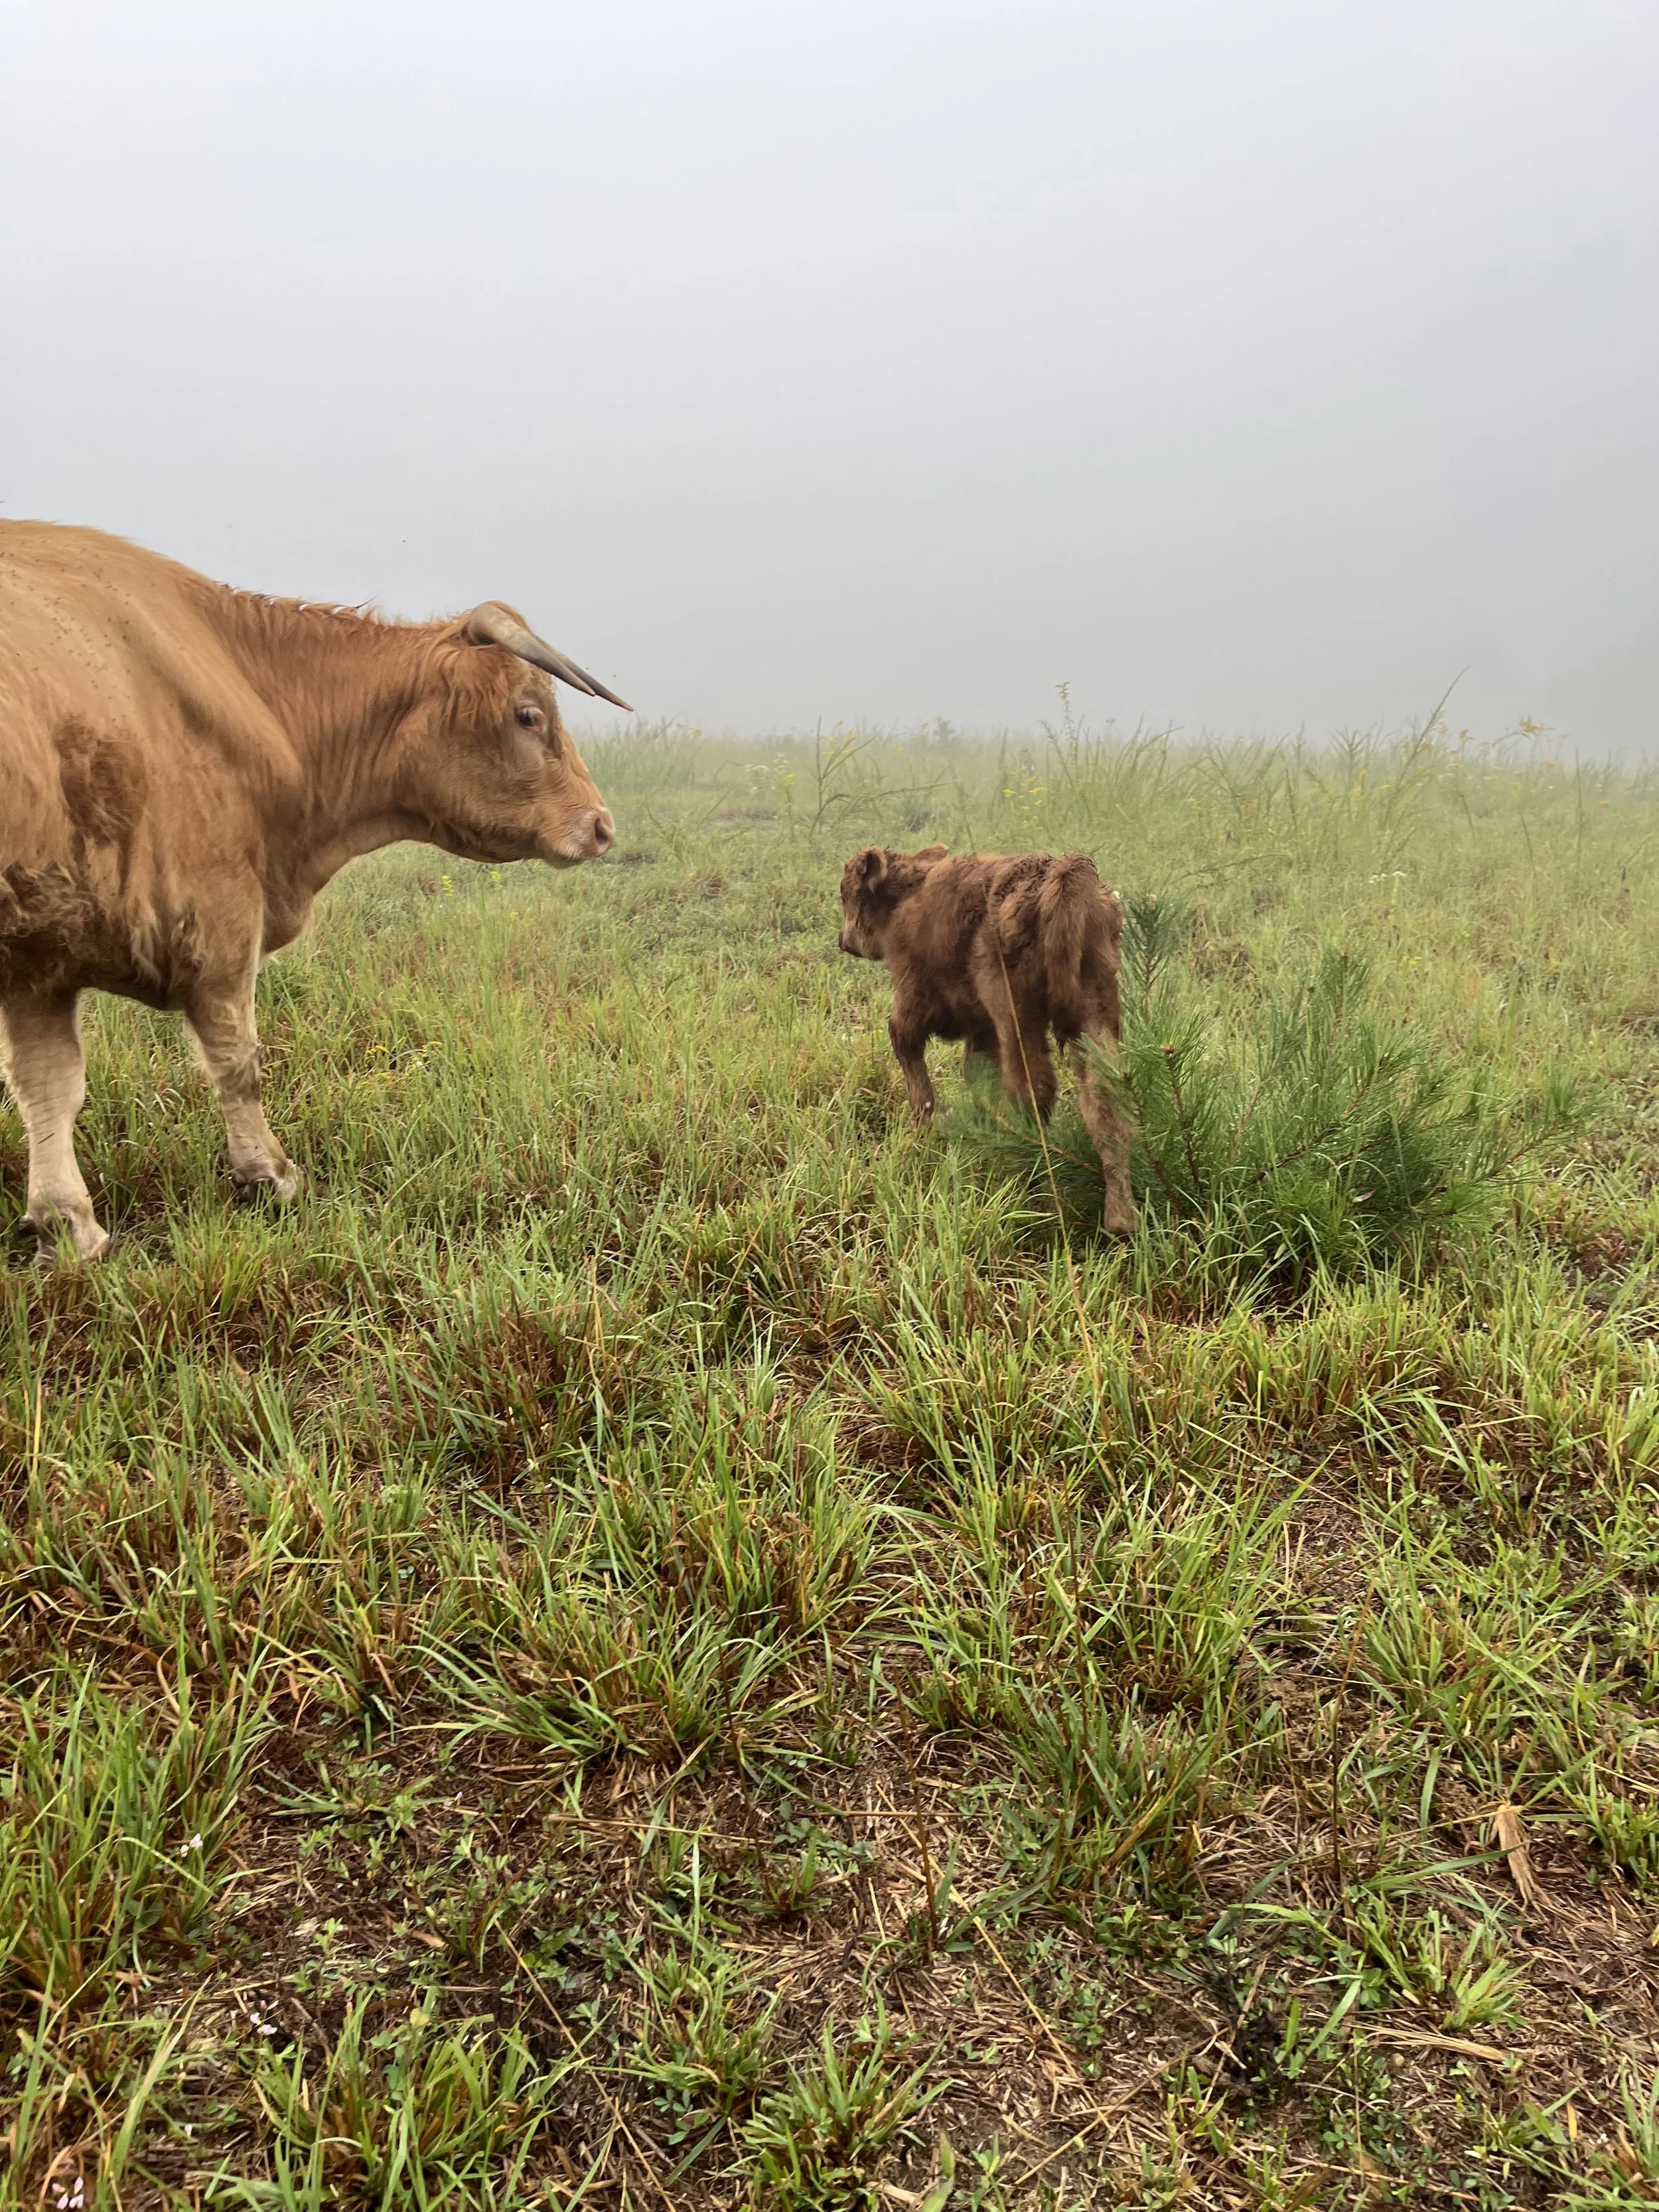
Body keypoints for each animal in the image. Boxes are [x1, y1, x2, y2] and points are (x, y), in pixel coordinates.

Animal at [0, 521, 627, 1259]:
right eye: (528, 715)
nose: (601, 825)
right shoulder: (217, 922)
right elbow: (238, 1062)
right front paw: (268, 1174)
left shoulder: (39, 960)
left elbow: (50, 1087)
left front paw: (66, 1222)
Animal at [837, 843, 1137, 1232]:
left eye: (846, 895)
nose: (843, 941)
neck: (907, 893)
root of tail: (1067, 875)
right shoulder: (981, 1027)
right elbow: (978, 1074)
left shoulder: (913, 996)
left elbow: (906, 1046)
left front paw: (923, 1127)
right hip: (1095, 1012)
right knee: (1106, 1099)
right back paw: (1121, 1218)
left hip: (1016, 1014)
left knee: (1032, 1087)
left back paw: (1019, 1181)